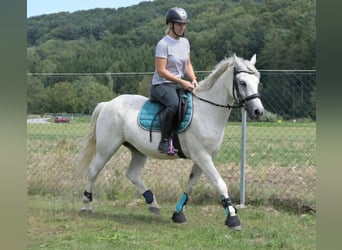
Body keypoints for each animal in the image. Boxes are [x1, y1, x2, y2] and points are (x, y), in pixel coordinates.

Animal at [78, 54, 264, 230]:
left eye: (257, 81)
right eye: (242, 83)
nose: (258, 111)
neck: (207, 111)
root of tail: (107, 104)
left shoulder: (203, 158)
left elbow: (190, 185)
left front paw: (178, 214)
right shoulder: (202, 157)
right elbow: (221, 184)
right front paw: (233, 218)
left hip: (138, 150)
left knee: (132, 174)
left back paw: (153, 203)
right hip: (107, 148)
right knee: (93, 171)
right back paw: (86, 206)